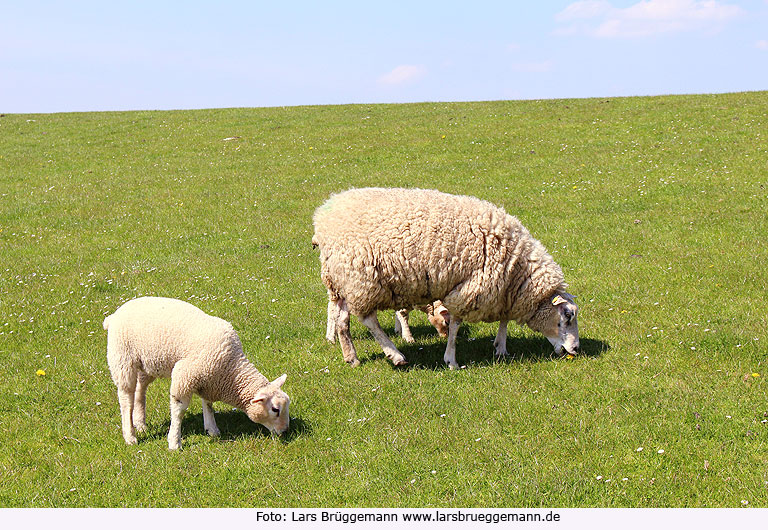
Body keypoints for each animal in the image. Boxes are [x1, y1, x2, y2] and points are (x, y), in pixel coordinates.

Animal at [103, 294, 290, 448]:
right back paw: (130, 436)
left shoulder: (208, 378)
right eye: (275, 409)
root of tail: (113, 316)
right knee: (126, 398)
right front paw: (174, 441)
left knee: (140, 390)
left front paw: (212, 429)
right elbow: (179, 410)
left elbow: (208, 405)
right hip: (122, 359)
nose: (285, 431)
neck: (231, 369)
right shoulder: (185, 374)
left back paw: (141, 424)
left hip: (147, 363)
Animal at [310, 187, 576, 368]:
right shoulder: (470, 288)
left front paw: (500, 346)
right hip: (361, 279)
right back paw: (395, 355)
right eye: (567, 316)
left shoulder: (500, 289)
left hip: (342, 280)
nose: (576, 348)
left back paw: (351, 356)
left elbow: (504, 319)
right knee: (368, 320)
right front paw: (451, 360)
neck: (516, 264)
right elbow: (456, 325)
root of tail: (323, 215)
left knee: (342, 319)